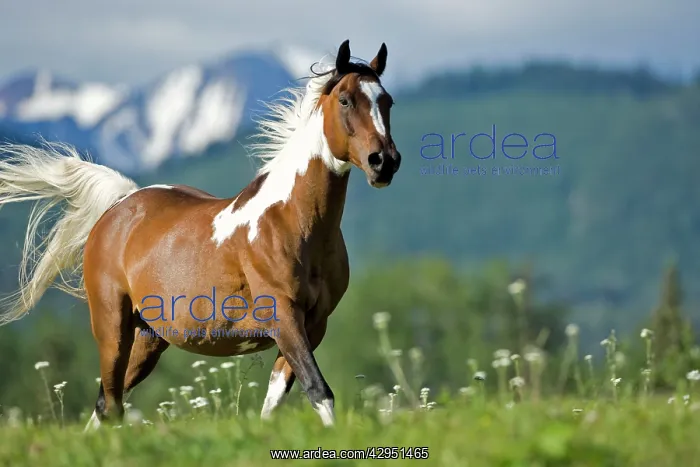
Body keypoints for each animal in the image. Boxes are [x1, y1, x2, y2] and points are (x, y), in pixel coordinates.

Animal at [0, 39, 400, 430]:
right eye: (345, 99)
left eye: (387, 101)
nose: (384, 162)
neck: (292, 223)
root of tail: (121, 203)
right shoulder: (285, 318)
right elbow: (319, 391)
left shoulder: (314, 325)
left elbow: (275, 403)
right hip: (112, 325)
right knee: (110, 404)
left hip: (149, 338)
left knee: (104, 405)